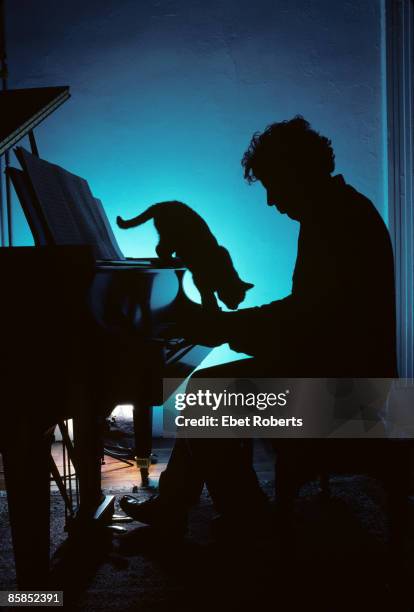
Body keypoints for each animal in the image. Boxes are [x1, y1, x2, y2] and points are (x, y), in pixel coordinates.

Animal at [115, 202, 254, 310]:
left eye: (240, 300)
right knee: (159, 249)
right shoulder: (198, 279)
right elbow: (207, 294)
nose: (235, 307)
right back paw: (169, 261)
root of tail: (164, 203)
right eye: (233, 297)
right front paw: (211, 307)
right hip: (171, 237)